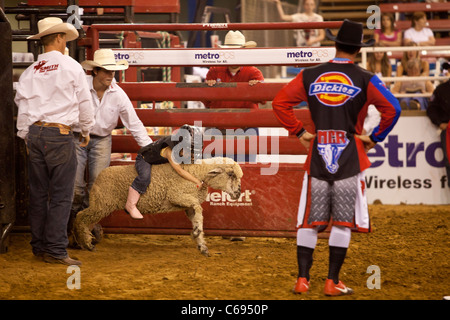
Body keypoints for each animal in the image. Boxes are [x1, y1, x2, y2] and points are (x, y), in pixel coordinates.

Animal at [73, 156, 243, 256]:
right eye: (230, 174)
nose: (238, 193)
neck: (196, 173)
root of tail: (99, 176)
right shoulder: (178, 195)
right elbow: (199, 210)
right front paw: (197, 235)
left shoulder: (187, 204)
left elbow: (197, 217)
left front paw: (201, 243)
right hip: (101, 204)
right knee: (80, 216)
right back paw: (85, 243)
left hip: (101, 204)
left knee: (84, 217)